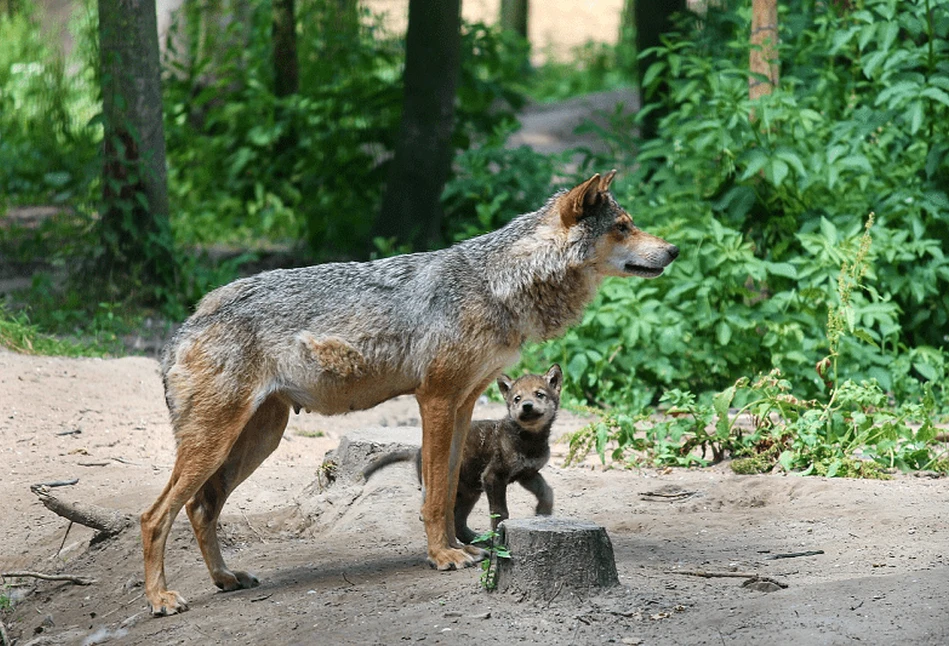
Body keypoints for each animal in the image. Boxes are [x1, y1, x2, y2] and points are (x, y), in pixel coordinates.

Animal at [141, 170, 676, 616]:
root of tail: (188, 323)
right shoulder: (436, 400)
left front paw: (461, 547)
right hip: (217, 443)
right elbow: (435, 495)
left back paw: (225, 578)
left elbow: (451, 487)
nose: (672, 250)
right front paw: (442, 556)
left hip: (256, 442)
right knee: (155, 516)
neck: (498, 285)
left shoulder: (463, 404)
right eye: (623, 227)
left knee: (200, 508)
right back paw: (161, 600)